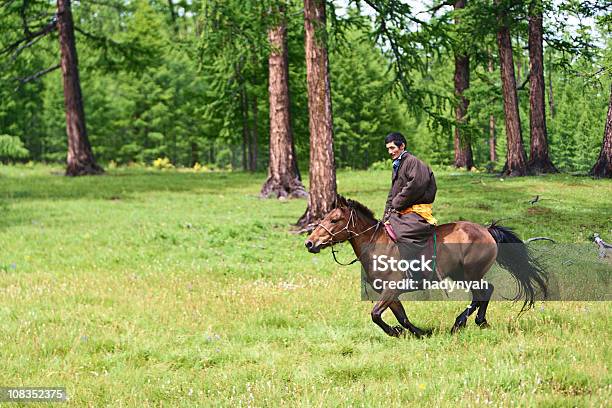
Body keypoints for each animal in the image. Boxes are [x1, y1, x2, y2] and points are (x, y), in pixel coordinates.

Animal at [304, 195, 548, 338]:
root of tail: (487, 230)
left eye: (334, 220)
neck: (377, 245)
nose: (309, 243)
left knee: (483, 293)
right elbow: (400, 317)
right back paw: (477, 322)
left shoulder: (391, 289)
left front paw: (395, 332)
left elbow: (375, 314)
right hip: (461, 275)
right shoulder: (391, 294)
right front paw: (418, 333)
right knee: (483, 294)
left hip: (471, 274)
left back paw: (461, 323)